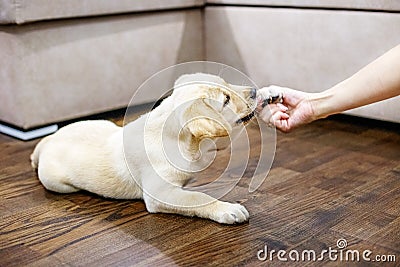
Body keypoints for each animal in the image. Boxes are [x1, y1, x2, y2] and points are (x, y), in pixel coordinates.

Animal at [31, 73, 280, 224]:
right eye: (226, 100)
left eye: (226, 83)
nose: (254, 91)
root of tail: (47, 141)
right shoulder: (161, 194)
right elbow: (196, 197)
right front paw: (227, 209)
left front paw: (268, 93)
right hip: (56, 183)